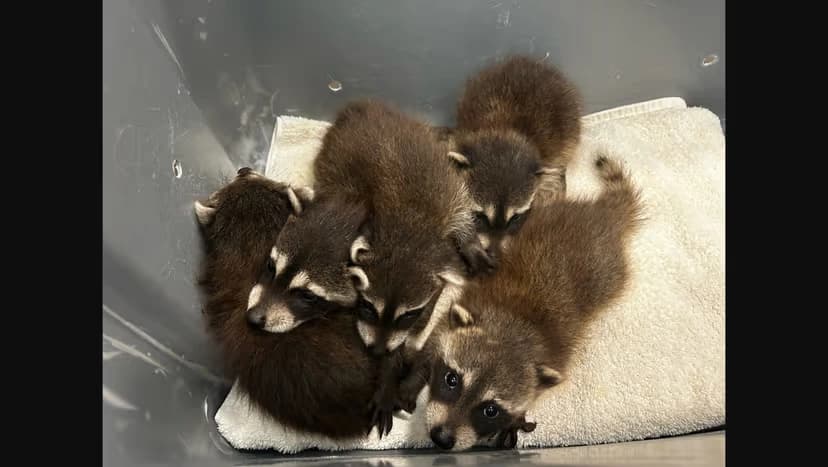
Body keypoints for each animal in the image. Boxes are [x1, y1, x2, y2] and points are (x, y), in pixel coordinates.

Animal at [424, 156, 643, 450]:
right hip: (548, 214)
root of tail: (603, 216)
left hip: (610, 274)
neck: (514, 329)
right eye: (452, 379)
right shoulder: (464, 304)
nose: (442, 438)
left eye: (490, 410)